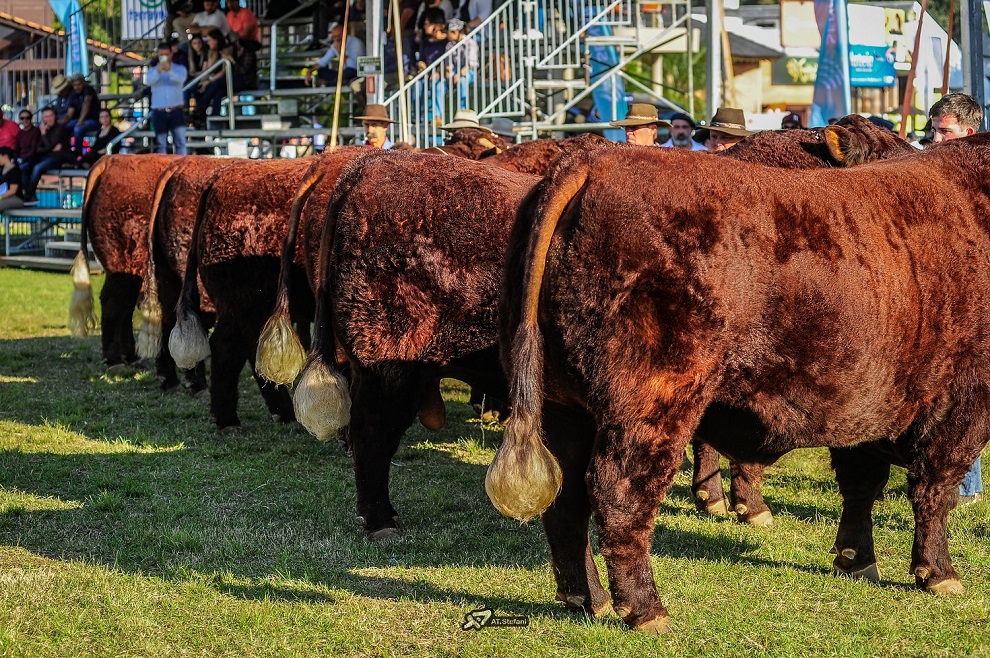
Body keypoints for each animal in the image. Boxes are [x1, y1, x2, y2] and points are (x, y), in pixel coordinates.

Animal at [490, 135, 990, 632]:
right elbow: (934, 489)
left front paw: (856, 560)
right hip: (652, 402)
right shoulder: (961, 406)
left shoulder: (868, 403)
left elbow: (862, 483)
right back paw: (647, 610)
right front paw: (938, 573)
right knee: (619, 492)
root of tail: (594, 160)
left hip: (563, 407)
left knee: (566, 499)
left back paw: (586, 598)